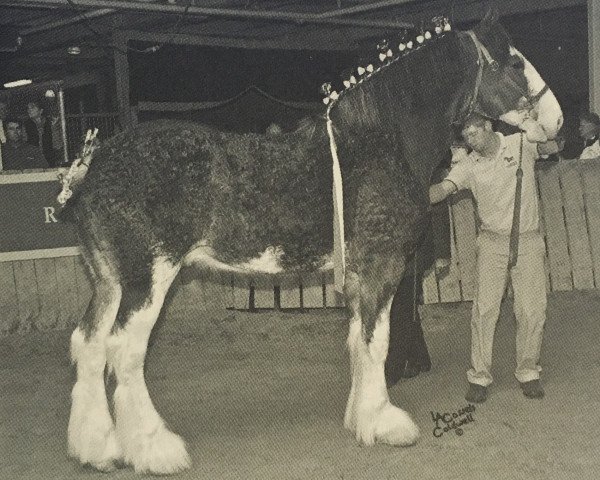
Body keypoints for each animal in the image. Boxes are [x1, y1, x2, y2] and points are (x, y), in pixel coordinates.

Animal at [62, 9, 564, 474]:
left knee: (88, 344)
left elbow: (359, 341)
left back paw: (98, 449)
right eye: (514, 62)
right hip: (148, 280)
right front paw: (386, 423)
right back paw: (155, 450)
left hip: (109, 282)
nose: (556, 120)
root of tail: (94, 164)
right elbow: (377, 341)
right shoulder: (382, 267)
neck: (381, 139)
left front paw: (361, 418)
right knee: (124, 352)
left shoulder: (360, 274)